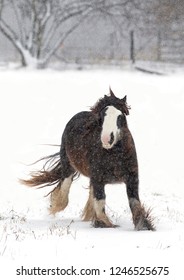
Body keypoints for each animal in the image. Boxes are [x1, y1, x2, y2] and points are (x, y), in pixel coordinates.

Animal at [20, 89, 155, 230]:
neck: (114, 155)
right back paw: (55, 207)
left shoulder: (132, 179)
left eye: (120, 116)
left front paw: (144, 226)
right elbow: (100, 204)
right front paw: (105, 224)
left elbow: (135, 205)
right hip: (68, 167)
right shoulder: (98, 179)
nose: (107, 139)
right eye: (102, 116)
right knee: (64, 192)